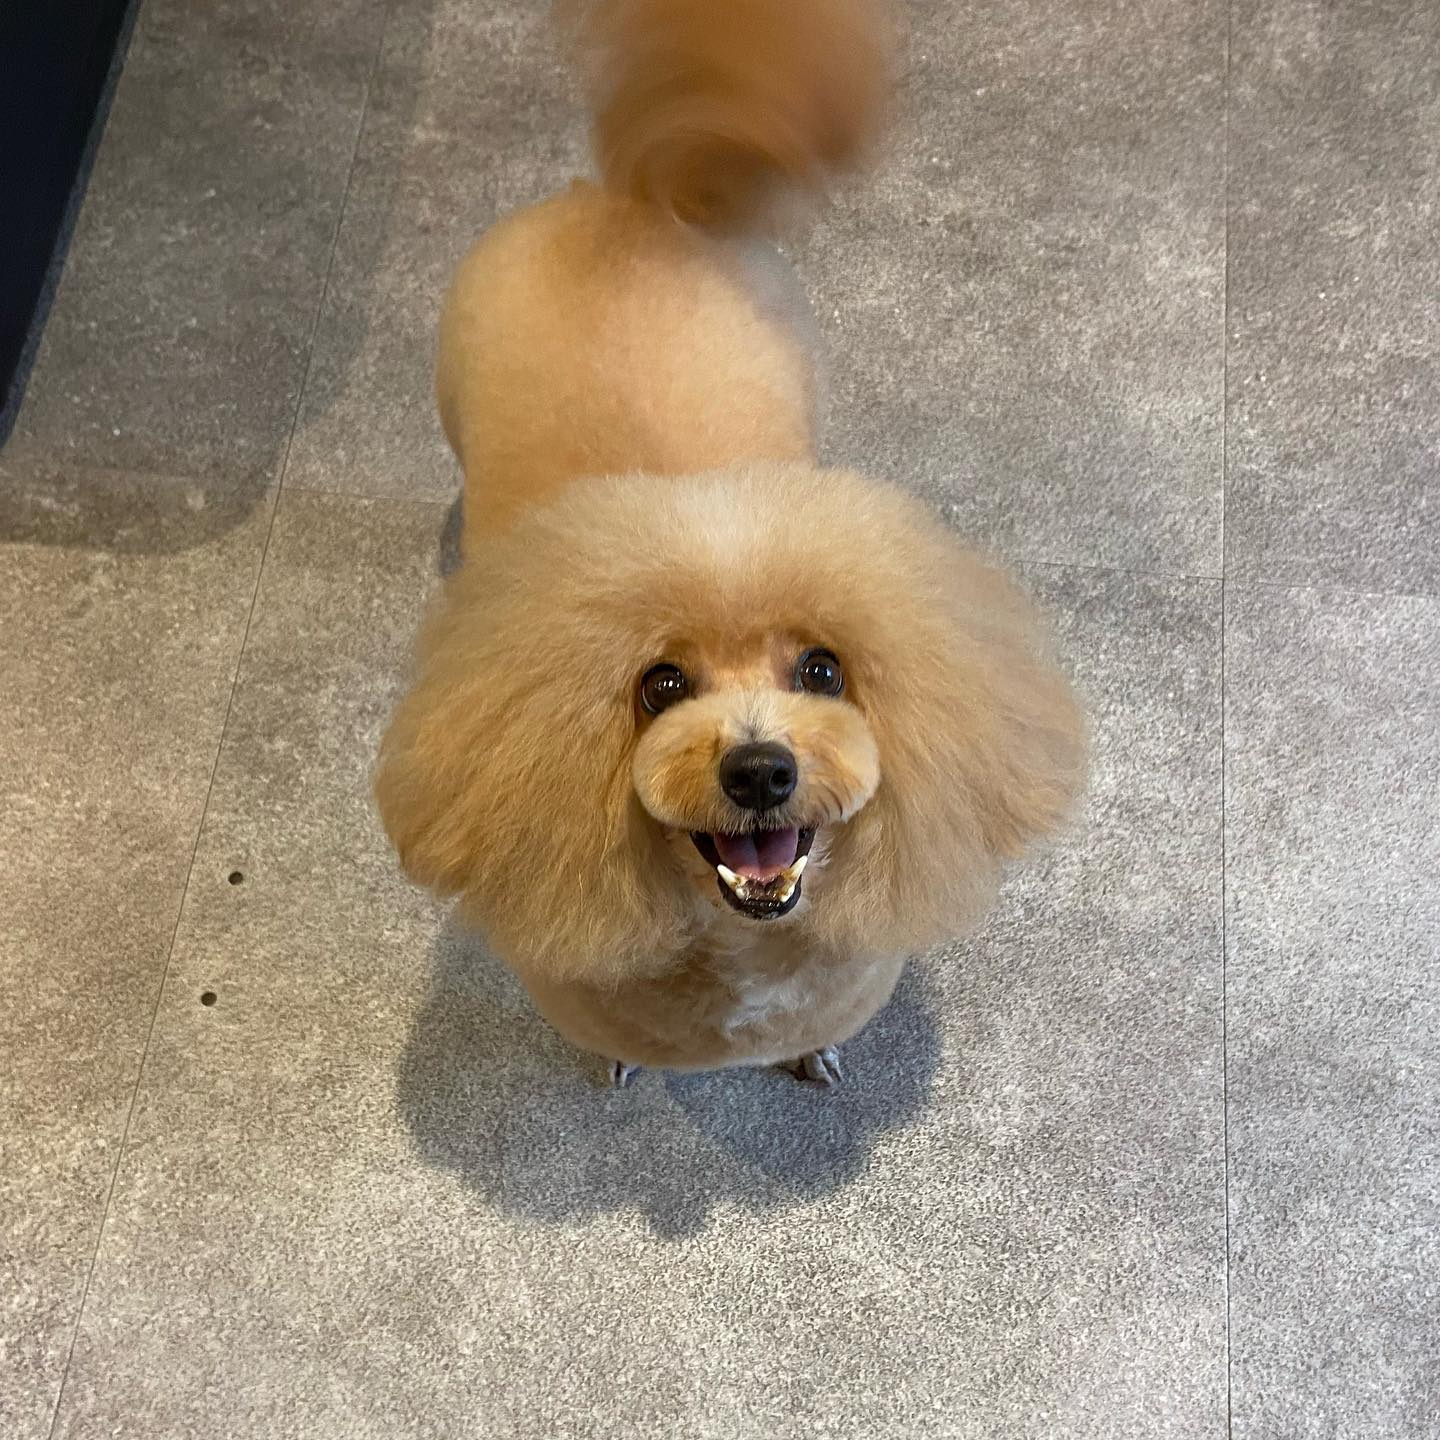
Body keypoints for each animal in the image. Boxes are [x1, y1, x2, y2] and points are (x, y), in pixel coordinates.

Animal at [375, 0, 1086, 1087]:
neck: (743, 946)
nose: (760, 772)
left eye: (824, 670)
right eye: (660, 685)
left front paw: (812, 1059)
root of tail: (629, 201)